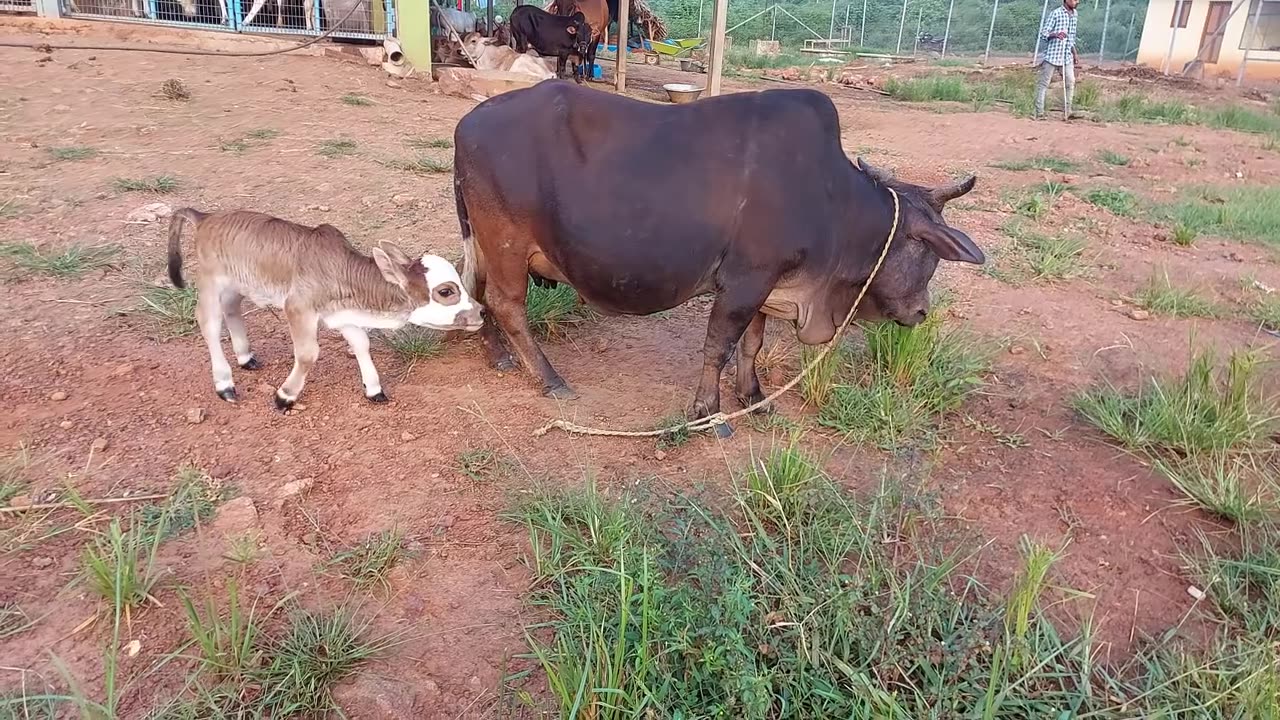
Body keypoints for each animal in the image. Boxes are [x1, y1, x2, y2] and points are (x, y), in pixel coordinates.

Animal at [170, 207, 483, 409]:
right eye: (446, 291)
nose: (481, 311)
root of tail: (206, 218)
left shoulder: (342, 315)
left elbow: (361, 343)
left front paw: (374, 389)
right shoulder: (298, 307)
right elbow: (308, 354)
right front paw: (285, 396)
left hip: (237, 285)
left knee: (232, 310)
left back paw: (246, 357)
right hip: (211, 282)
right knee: (209, 323)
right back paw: (224, 384)